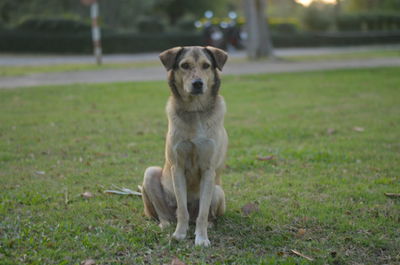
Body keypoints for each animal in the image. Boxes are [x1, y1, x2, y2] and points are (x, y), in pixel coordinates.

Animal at [141, 45, 228, 245]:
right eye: (185, 65)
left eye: (206, 65)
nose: (198, 83)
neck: (195, 110)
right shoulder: (177, 167)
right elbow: (182, 209)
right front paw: (179, 234)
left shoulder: (208, 169)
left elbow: (203, 212)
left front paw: (201, 238)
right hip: (150, 174)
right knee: (167, 214)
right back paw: (166, 225)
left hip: (218, 191)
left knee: (202, 214)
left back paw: (207, 225)